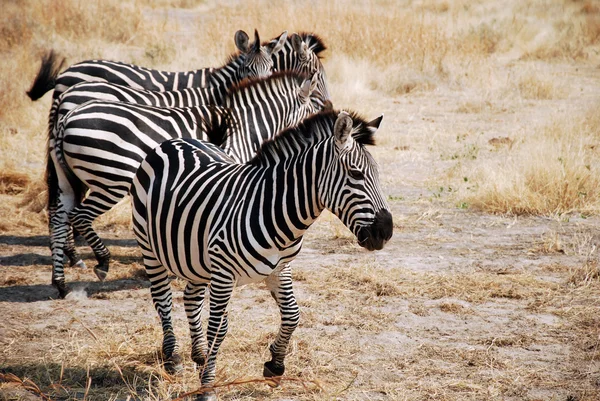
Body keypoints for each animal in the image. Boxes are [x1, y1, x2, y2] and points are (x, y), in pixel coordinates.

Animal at [48, 71, 326, 296]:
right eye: (315, 110)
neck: (244, 128)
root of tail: (68, 115)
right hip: (110, 180)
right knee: (79, 216)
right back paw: (102, 263)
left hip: (68, 178)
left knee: (59, 218)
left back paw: (61, 282)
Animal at [130, 109, 394, 400]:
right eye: (356, 174)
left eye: (378, 174)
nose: (386, 231)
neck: (273, 209)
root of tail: (173, 141)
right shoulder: (224, 273)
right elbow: (218, 328)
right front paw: (207, 388)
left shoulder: (281, 267)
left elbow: (292, 314)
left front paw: (274, 366)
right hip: (150, 247)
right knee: (163, 298)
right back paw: (172, 357)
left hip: (195, 256)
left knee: (190, 298)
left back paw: (198, 355)